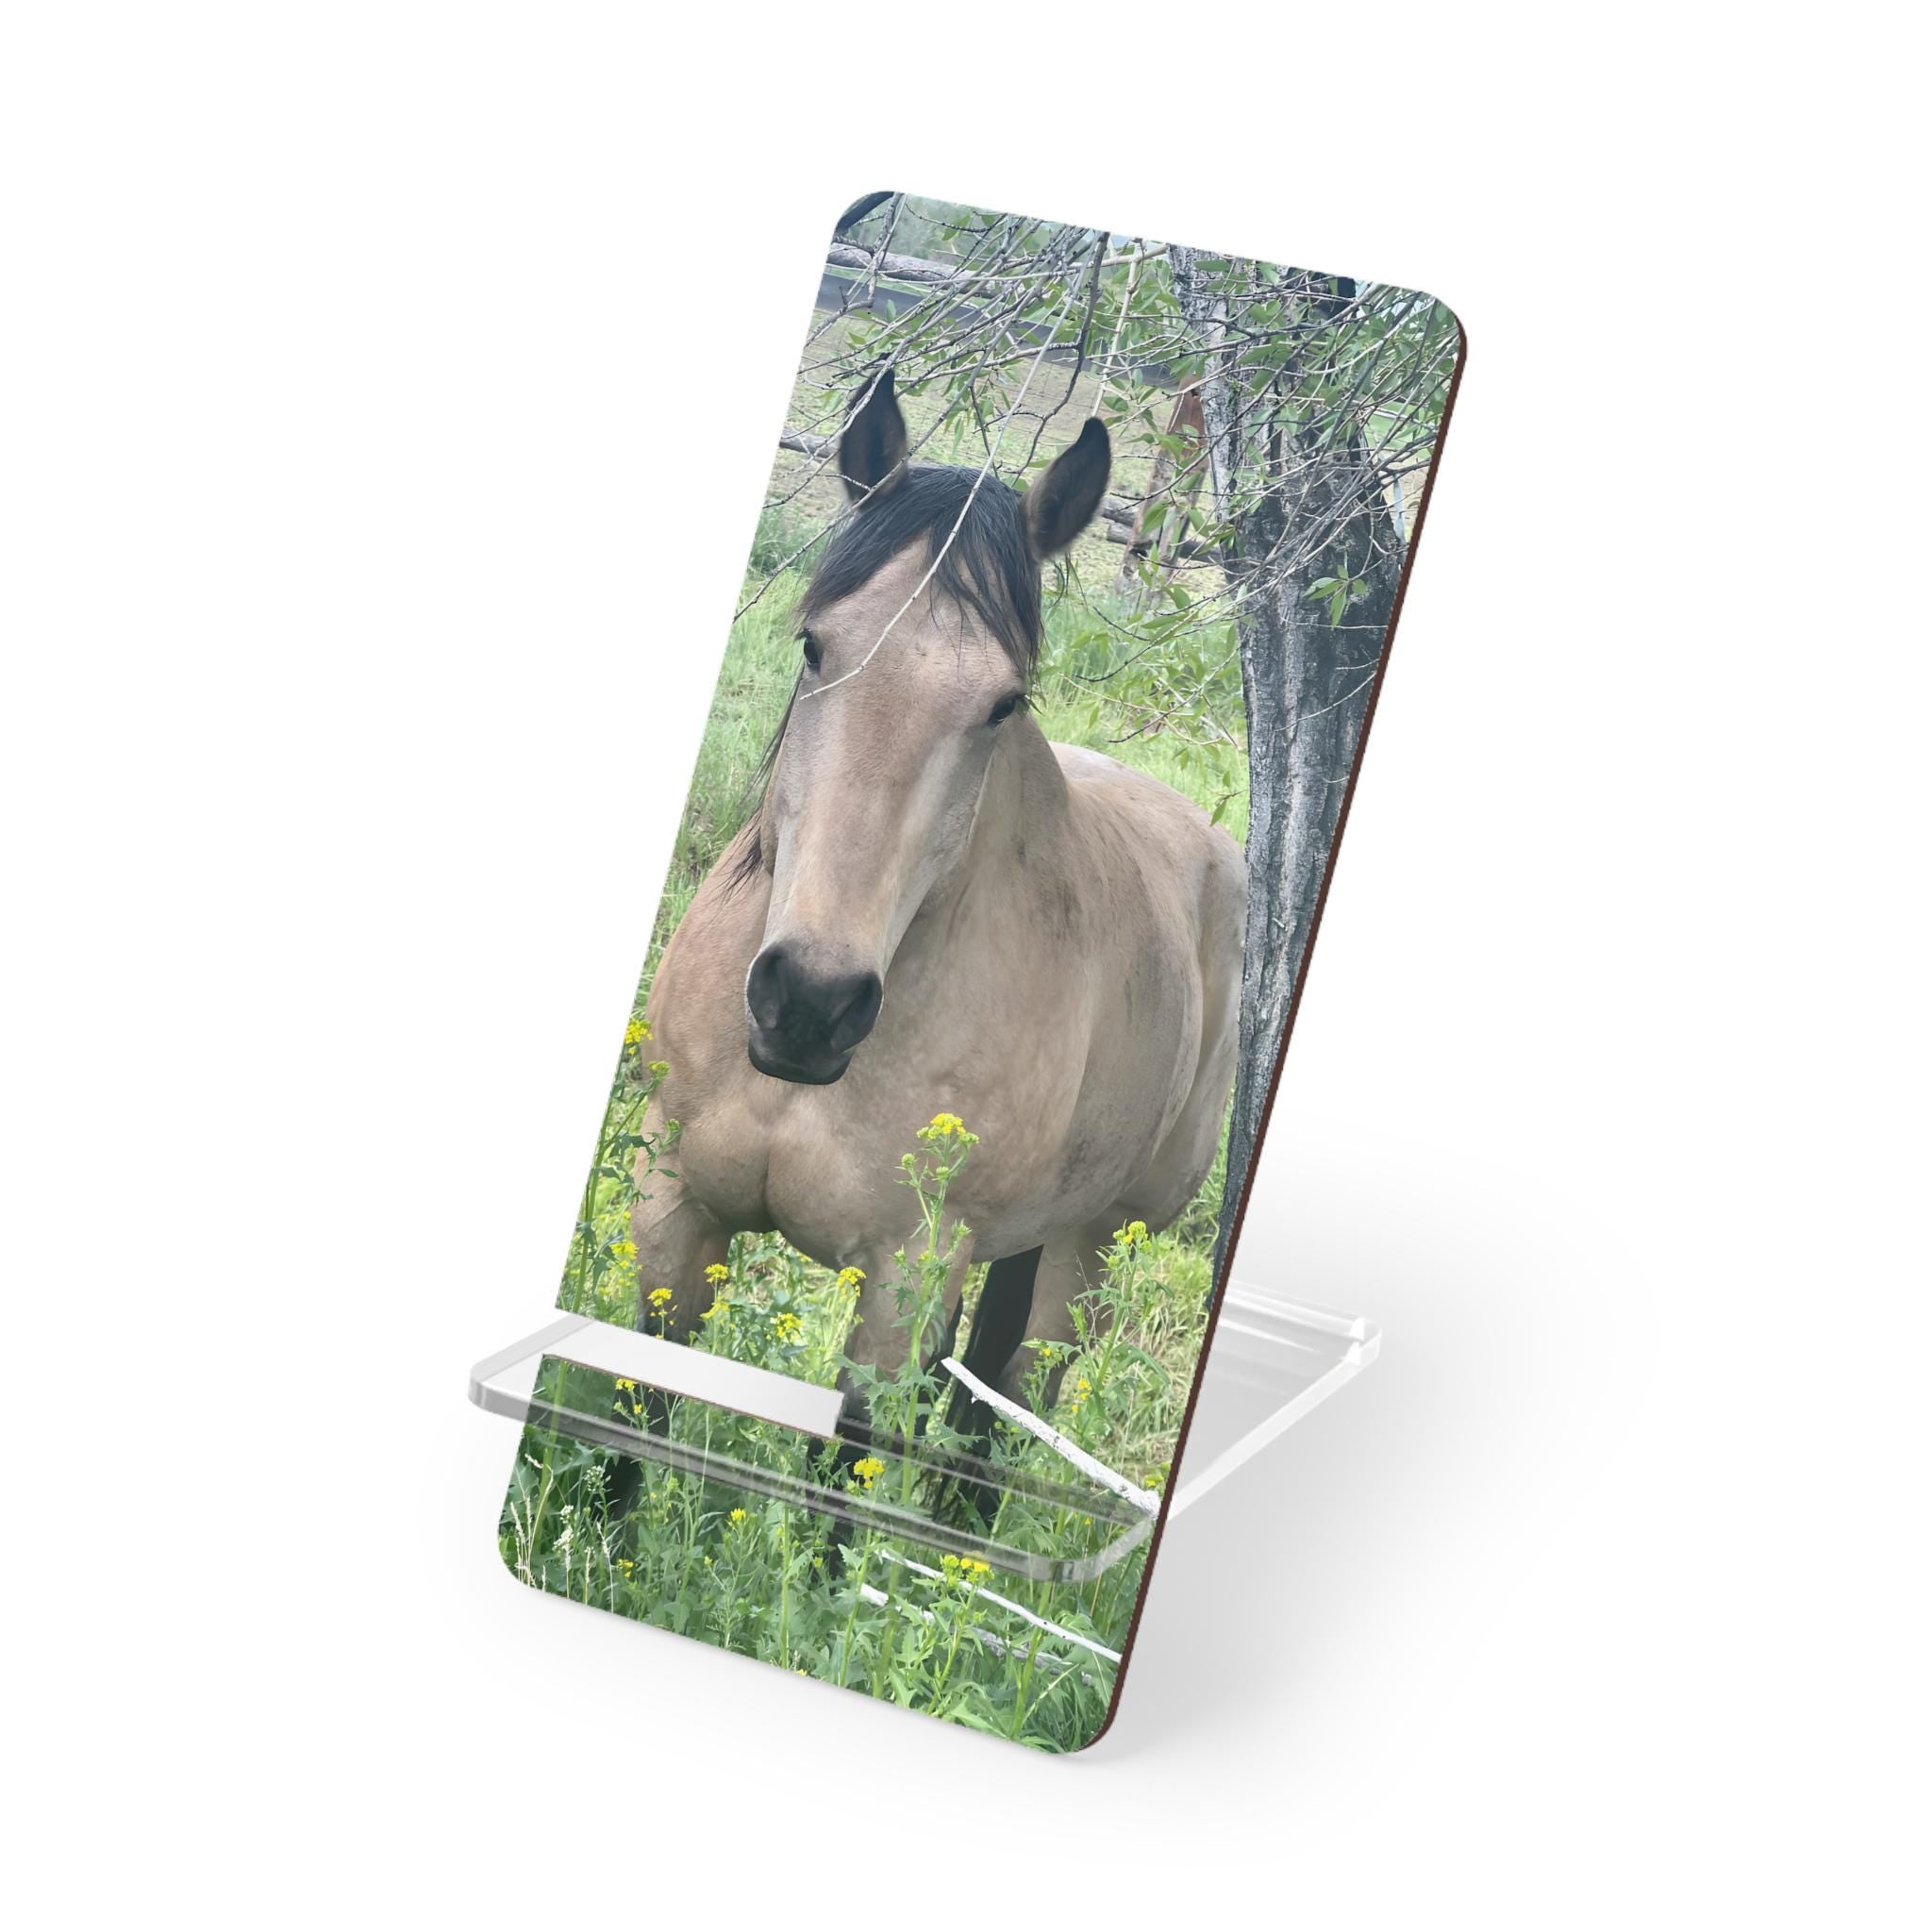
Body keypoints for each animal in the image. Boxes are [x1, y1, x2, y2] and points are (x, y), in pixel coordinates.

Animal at [631, 369, 1245, 1440]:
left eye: (1003, 703)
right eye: (813, 645)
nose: (810, 1003)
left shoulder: (900, 1290)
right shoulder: (671, 1218)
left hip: (1086, 1257)